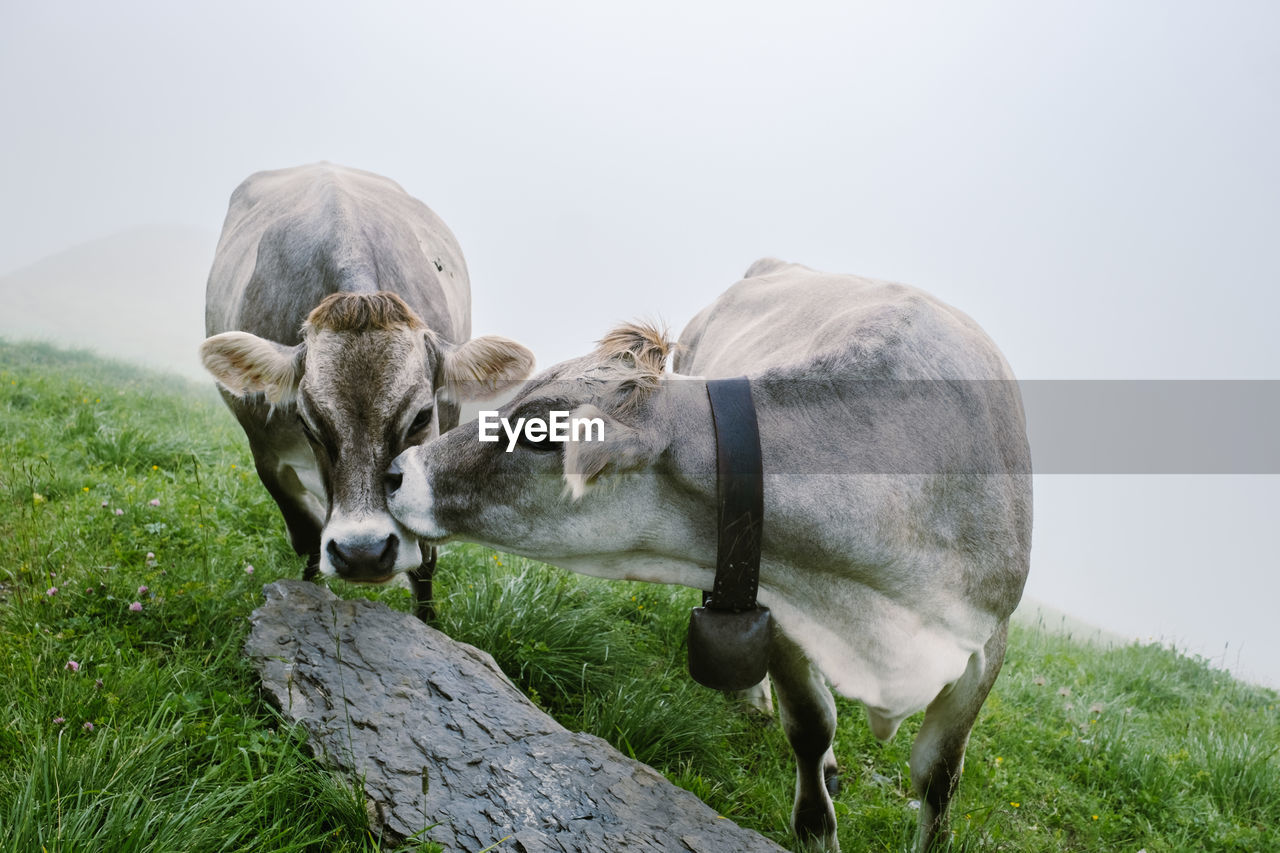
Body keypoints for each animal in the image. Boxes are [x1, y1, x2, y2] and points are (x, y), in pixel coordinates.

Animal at [198, 159, 535, 614]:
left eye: (422, 417)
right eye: (305, 422)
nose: (363, 553)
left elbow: (424, 559)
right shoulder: (266, 453)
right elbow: (308, 538)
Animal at [384, 256, 1034, 845]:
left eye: (542, 432)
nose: (397, 471)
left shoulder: (988, 640)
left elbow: (938, 777)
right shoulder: (775, 598)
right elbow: (811, 728)